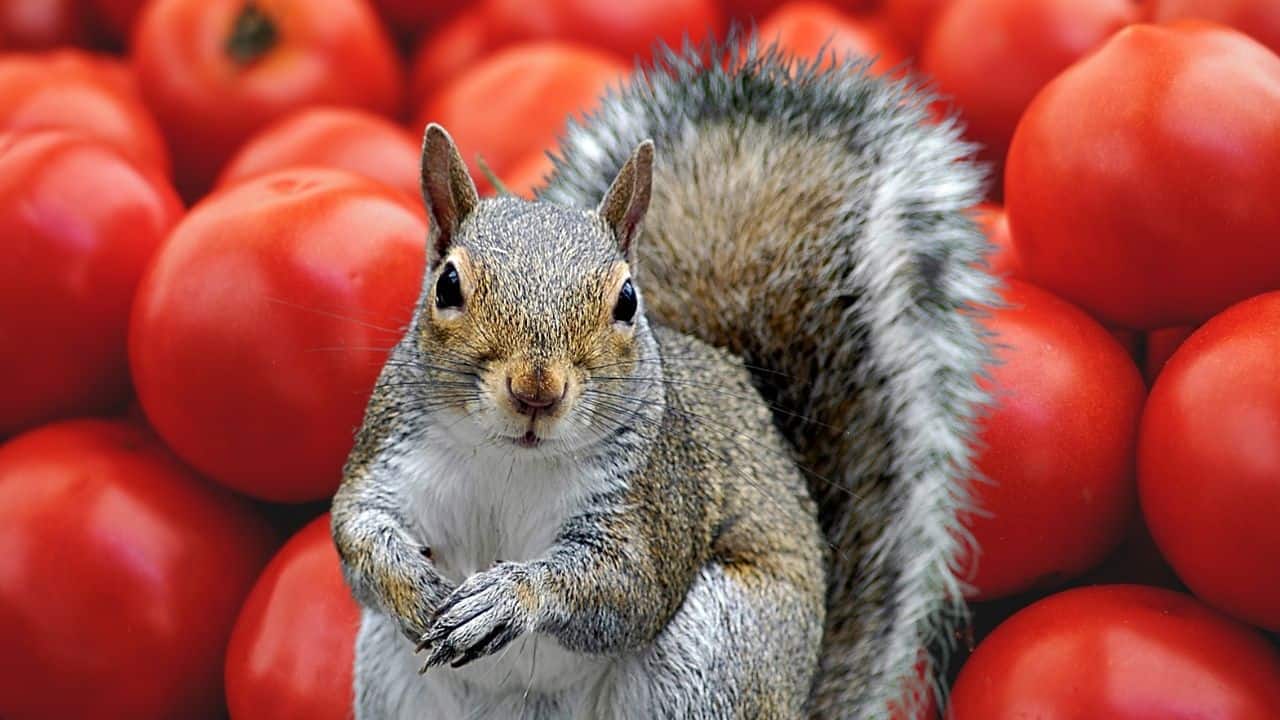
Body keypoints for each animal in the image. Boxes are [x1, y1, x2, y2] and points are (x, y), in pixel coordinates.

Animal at [332, 37, 995, 720]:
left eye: (627, 299)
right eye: (447, 285)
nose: (535, 391)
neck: (511, 460)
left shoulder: (656, 502)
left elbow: (628, 588)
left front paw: (511, 596)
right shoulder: (390, 454)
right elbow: (356, 529)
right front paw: (410, 584)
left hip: (712, 657)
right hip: (389, 675)